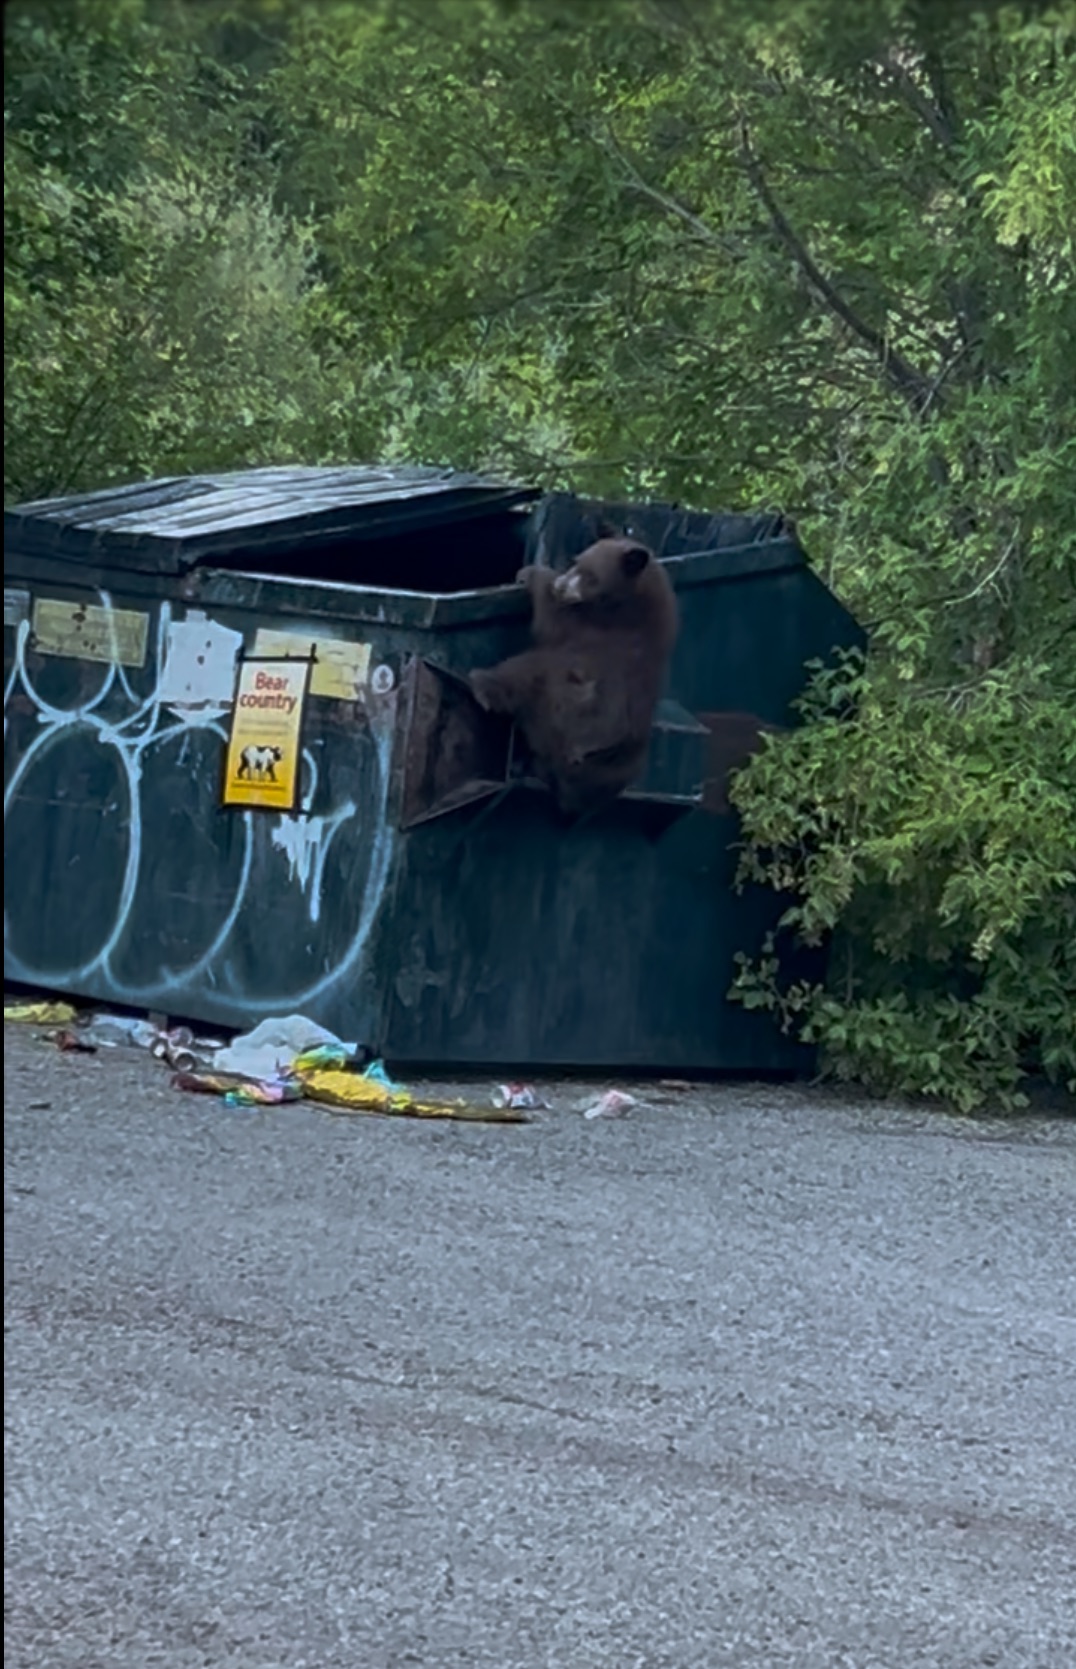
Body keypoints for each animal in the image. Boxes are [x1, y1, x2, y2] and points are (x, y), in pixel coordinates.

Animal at [468, 535, 678, 816]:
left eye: (591, 576)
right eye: (575, 561)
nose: (560, 585)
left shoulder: (600, 634)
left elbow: (554, 625)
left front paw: (533, 574)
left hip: (555, 709)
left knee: (532, 670)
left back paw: (483, 685)